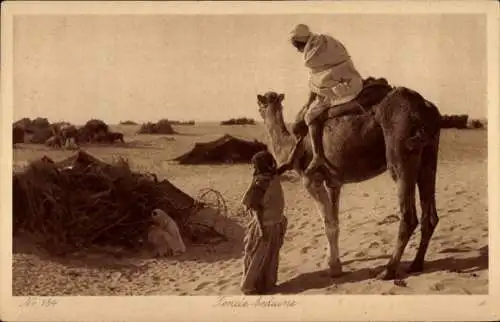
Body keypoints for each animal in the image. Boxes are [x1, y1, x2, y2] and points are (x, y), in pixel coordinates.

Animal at [258, 80, 442, 280]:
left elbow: (328, 224)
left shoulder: (310, 179)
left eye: (261, 103)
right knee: (430, 215)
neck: (291, 145)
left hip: (400, 153)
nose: (260, 107)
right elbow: (335, 221)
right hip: (429, 155)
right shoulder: (333, 182)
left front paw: (334, 269)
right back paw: (416, 264)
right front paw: (332, 261)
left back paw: (388, 270)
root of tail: (425, 108)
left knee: (408, 216)